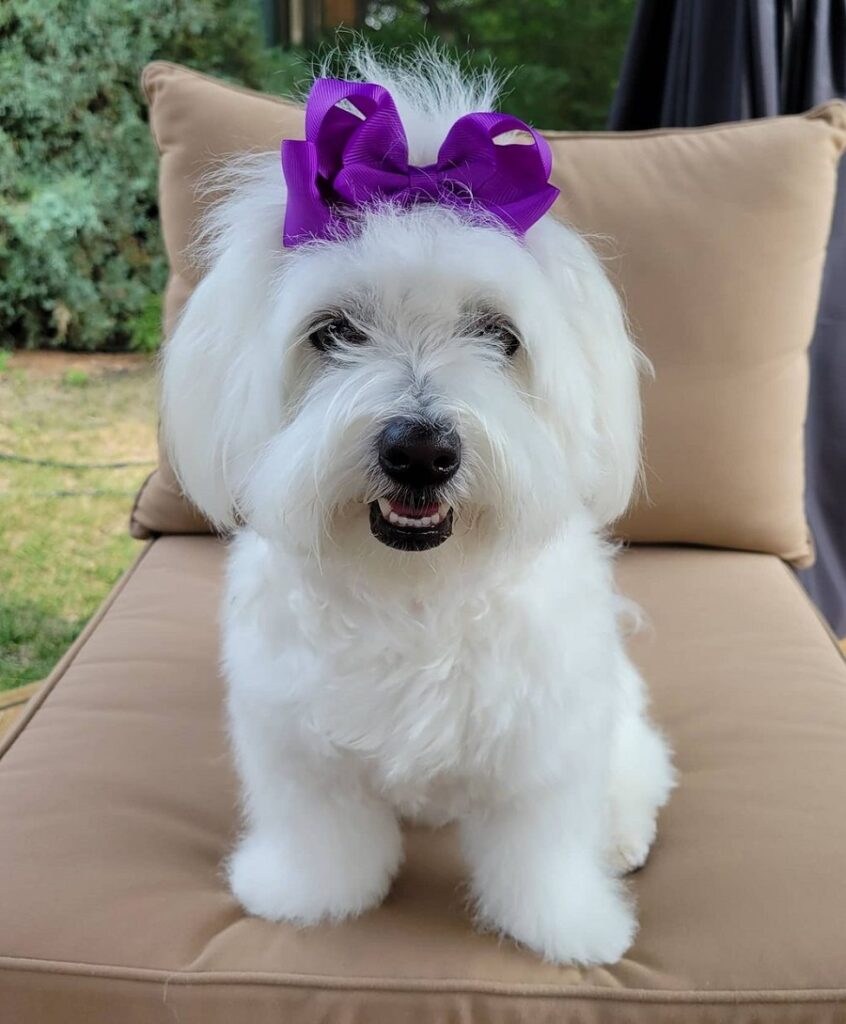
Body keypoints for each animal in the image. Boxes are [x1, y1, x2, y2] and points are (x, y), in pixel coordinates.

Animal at [162, 48, 671, 962]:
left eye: (499, 334)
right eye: (333, 331)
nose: (422, 452)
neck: (415, 594)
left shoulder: (543, 753)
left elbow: (542, 851)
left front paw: (567, 926)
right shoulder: (299, 746)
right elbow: (321, 833)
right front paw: (307, 896)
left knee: (639, 770)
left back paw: (620, 835)